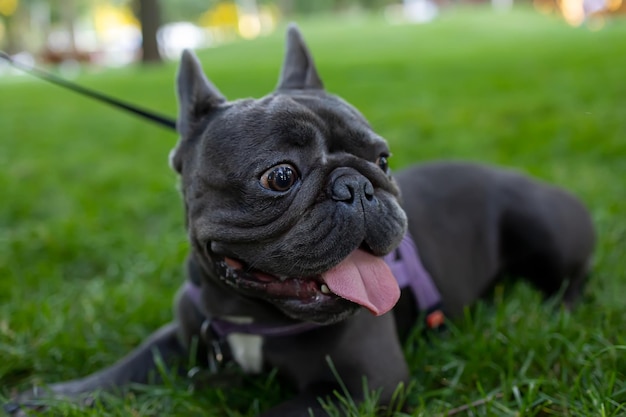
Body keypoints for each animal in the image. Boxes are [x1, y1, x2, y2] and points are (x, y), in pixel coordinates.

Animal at [11, 23, 596, 416]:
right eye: (280, 177)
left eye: (383, 159)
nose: (358, 185)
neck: (248, 316)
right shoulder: (181, 333)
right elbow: (130, 363)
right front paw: (51, 396)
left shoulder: (363, 387)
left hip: (537, 222)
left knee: (575, 277)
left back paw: (551, 312)